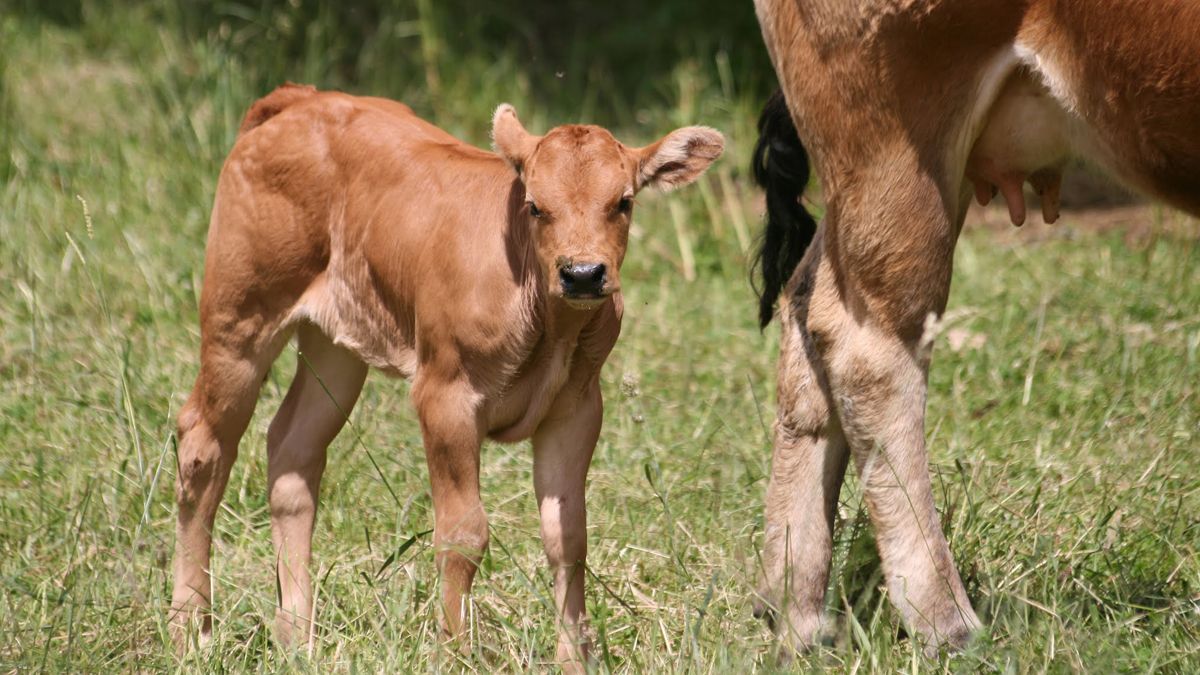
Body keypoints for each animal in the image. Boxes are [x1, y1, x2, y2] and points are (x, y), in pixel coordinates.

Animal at [168, 82, 720, 662]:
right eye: (535, 206)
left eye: (624, 202)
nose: (583, 273)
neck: (550, 324)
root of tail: (302, 98)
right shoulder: (445, 396)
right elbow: (463, 534)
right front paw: (454, 650)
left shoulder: (577, 406)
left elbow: (568, 538)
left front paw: (574, 661)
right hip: (239, 315)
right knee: (204, 446)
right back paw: (191, 631)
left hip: (335, 346)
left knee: (292, 450)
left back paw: (298, 636)